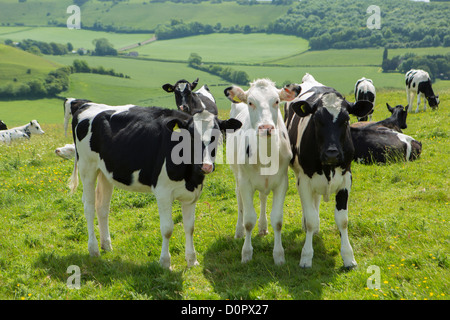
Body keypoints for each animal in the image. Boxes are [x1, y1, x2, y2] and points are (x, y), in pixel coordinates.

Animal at [67, 99, 243, 268]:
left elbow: (190, 227)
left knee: (102, 207)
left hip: (105, 172)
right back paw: (94, 249)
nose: (205, 166)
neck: (190, 176)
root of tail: (86, 104)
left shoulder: (192, 194)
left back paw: (107, 246)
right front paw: (165, 262)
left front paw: (192, 260)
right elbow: (167, 229)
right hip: (87, 167)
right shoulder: (163, 192)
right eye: (191, 135)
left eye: (217, 135)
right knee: (89, 207)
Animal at [223, 79, 300, 264]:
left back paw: (263, 227)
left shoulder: (282, 182)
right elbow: (249, 220)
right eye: (251, 102)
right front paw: (246, 253)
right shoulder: (245, 183)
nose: (266, 127)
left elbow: (277, 220)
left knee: (263, 197)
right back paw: (238, 231)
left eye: (277, 101)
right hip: (237, 176)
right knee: (240, 201)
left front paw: (279, 255)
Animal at [284, 73, 372, 268]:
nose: (332, 153)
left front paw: (348, 257)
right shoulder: (304, 179)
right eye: (317, 120)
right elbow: (310, 219)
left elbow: (343, 220)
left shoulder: (346, 178)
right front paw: (306, 256)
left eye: (346, 120)